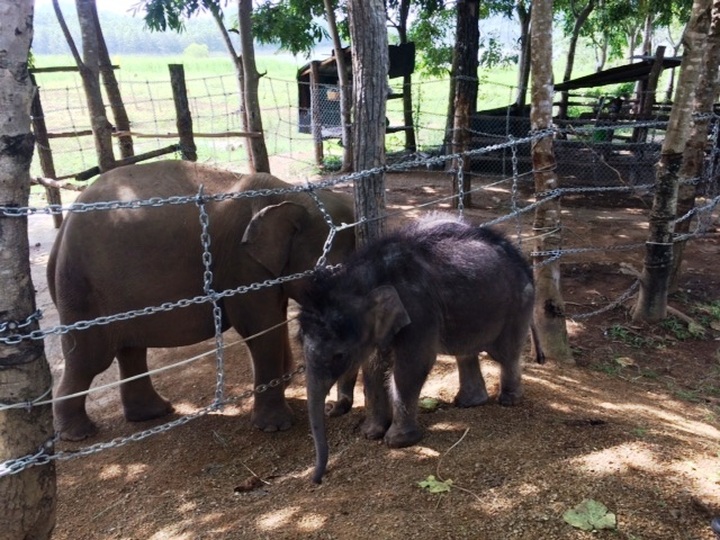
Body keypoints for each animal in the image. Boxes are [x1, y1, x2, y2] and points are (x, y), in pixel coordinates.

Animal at [47, 159, 355, 441]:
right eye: (334, 272)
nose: (333, 410)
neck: (289, 193)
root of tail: (60, 234)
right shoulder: (241, 264)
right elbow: (259, 329)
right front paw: (276, 427)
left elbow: (274, 320)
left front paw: (286, 383)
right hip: (81, 290)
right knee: (90, 360)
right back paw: (77, 434)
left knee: (131, 349)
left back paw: (153, 413)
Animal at [298, 214, 545, 483]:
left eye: (339, 355)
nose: (317, 478)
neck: (367, 276)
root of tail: (521, 258)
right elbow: (373, 367)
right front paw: (370, 434)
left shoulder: (418, 310)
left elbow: (411, 366)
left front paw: (397, 442)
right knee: (465, 352)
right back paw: (469, 402)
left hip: (518, 303)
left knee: (506, 354)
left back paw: (508, 401)